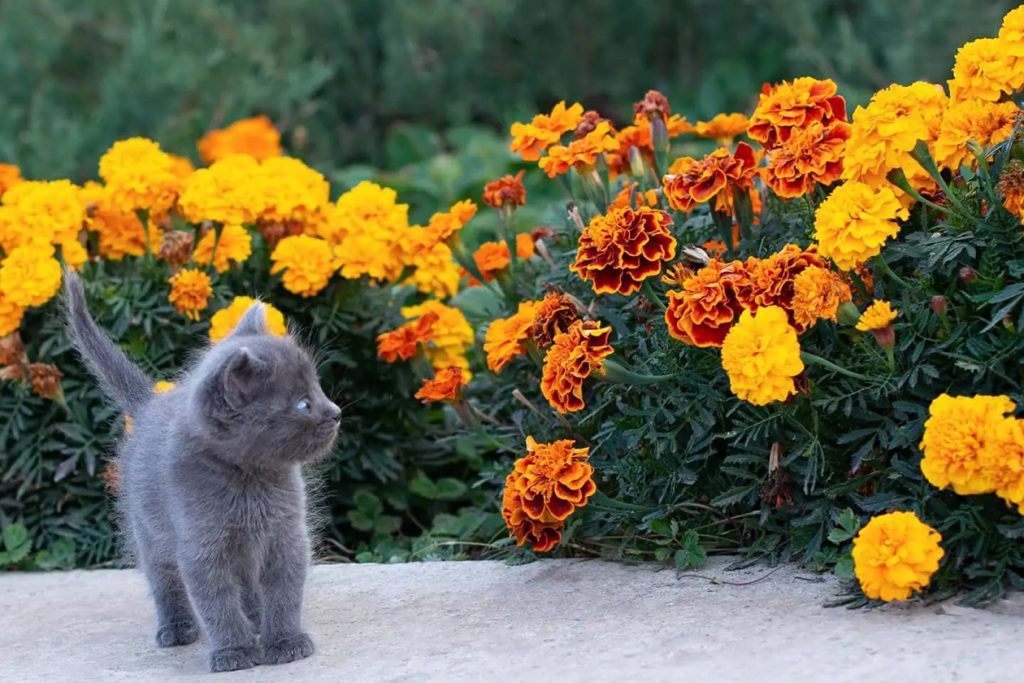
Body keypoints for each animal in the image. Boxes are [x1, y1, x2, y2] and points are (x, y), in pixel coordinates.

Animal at [64, 270, 339, 671]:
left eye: (319, 390)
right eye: (303, 404)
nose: (336, 413)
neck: (249, 478)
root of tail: (150, 403)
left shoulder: (286, 535)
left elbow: (284, 591)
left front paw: (285, 641)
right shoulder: (201, 547)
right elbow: (216, 603)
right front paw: (234, 651)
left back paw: (255, 617)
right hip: (148, 529)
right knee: (163, 579)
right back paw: (177, 628)